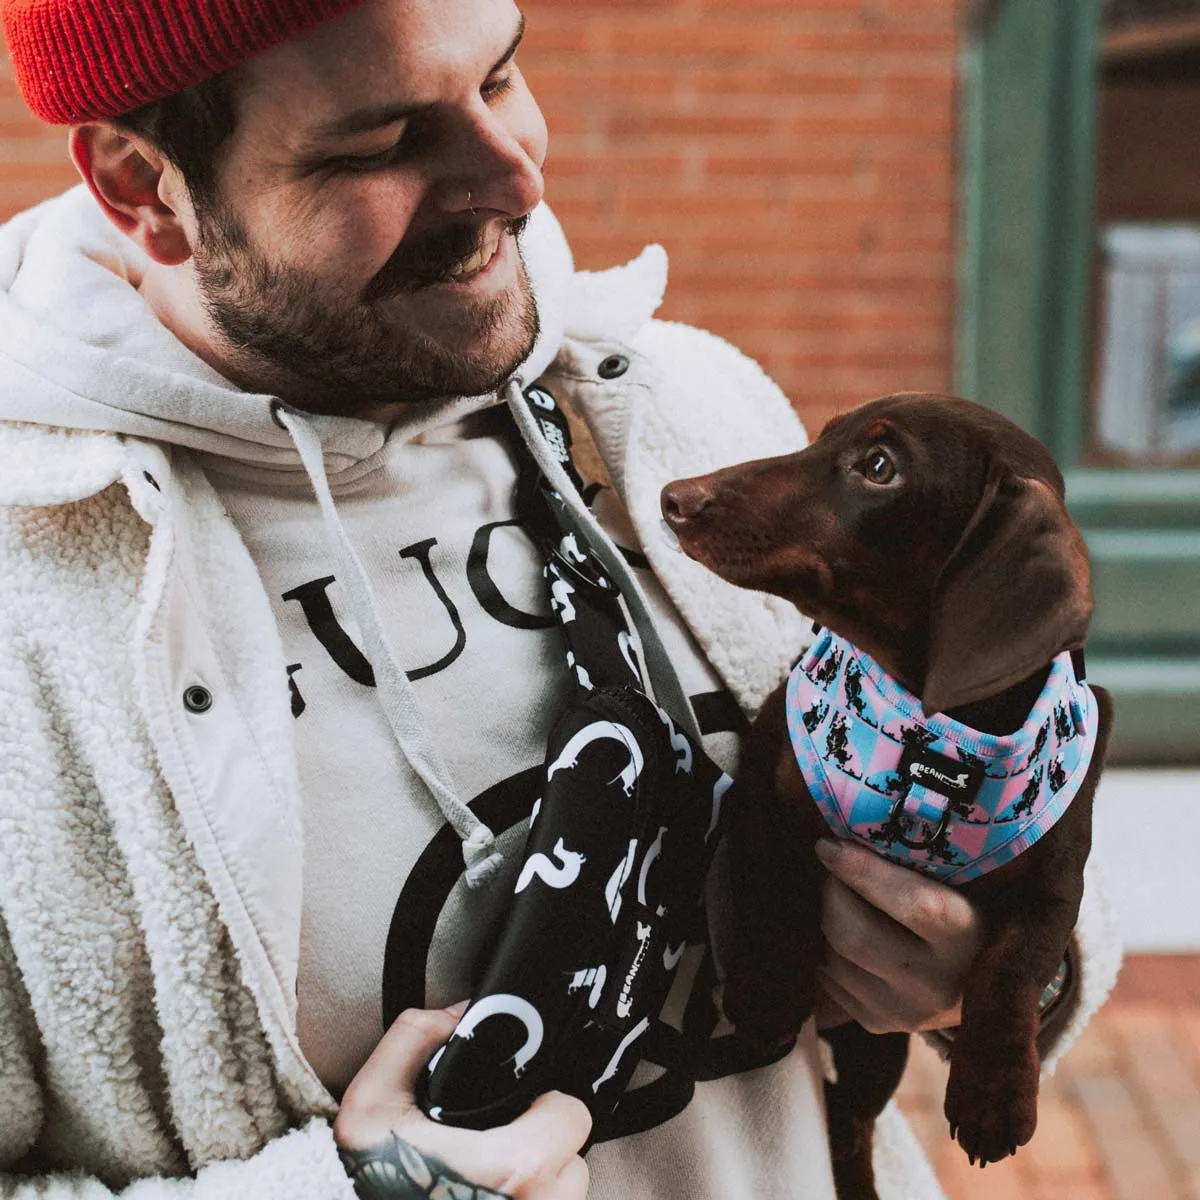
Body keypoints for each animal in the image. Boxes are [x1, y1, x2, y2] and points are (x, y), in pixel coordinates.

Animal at [662, 396, 1108, 1200]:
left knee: (851, 1119)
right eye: (823, 436)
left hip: (878, 1046)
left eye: (878, 466)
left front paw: (994, 1096)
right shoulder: (766, 784)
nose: (676, 499)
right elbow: (773, 882)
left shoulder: (1057, 882)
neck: (940, 735)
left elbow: (1016, 964)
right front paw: (768, 992)